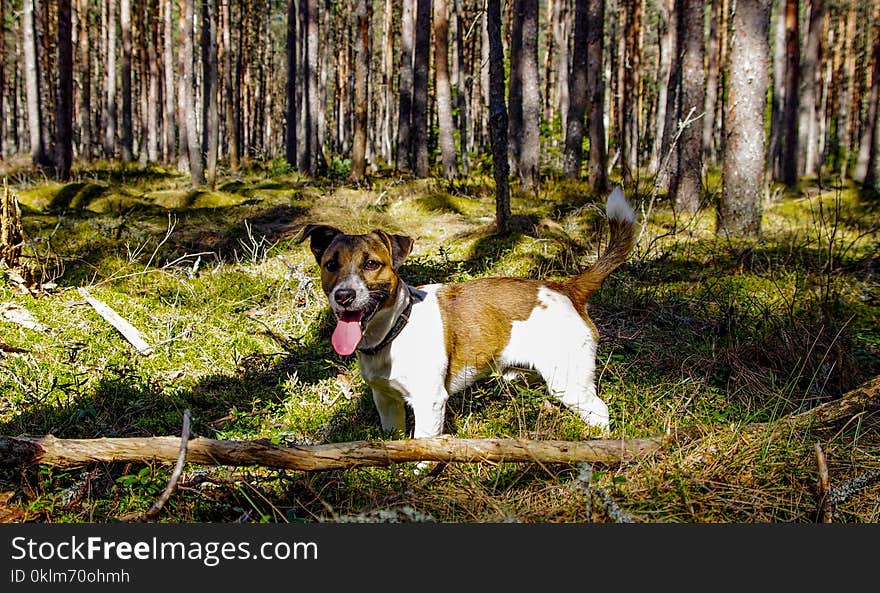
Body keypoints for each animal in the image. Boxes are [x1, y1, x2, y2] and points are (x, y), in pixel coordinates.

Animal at [300, 187, 636, 438]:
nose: (344, 296)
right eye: (331, 265)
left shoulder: (430, 402)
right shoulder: (386, 401)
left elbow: (423, 442)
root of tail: (567, 288)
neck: (396, 328)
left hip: (568, 383)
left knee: (599, 411)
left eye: (371, 264)